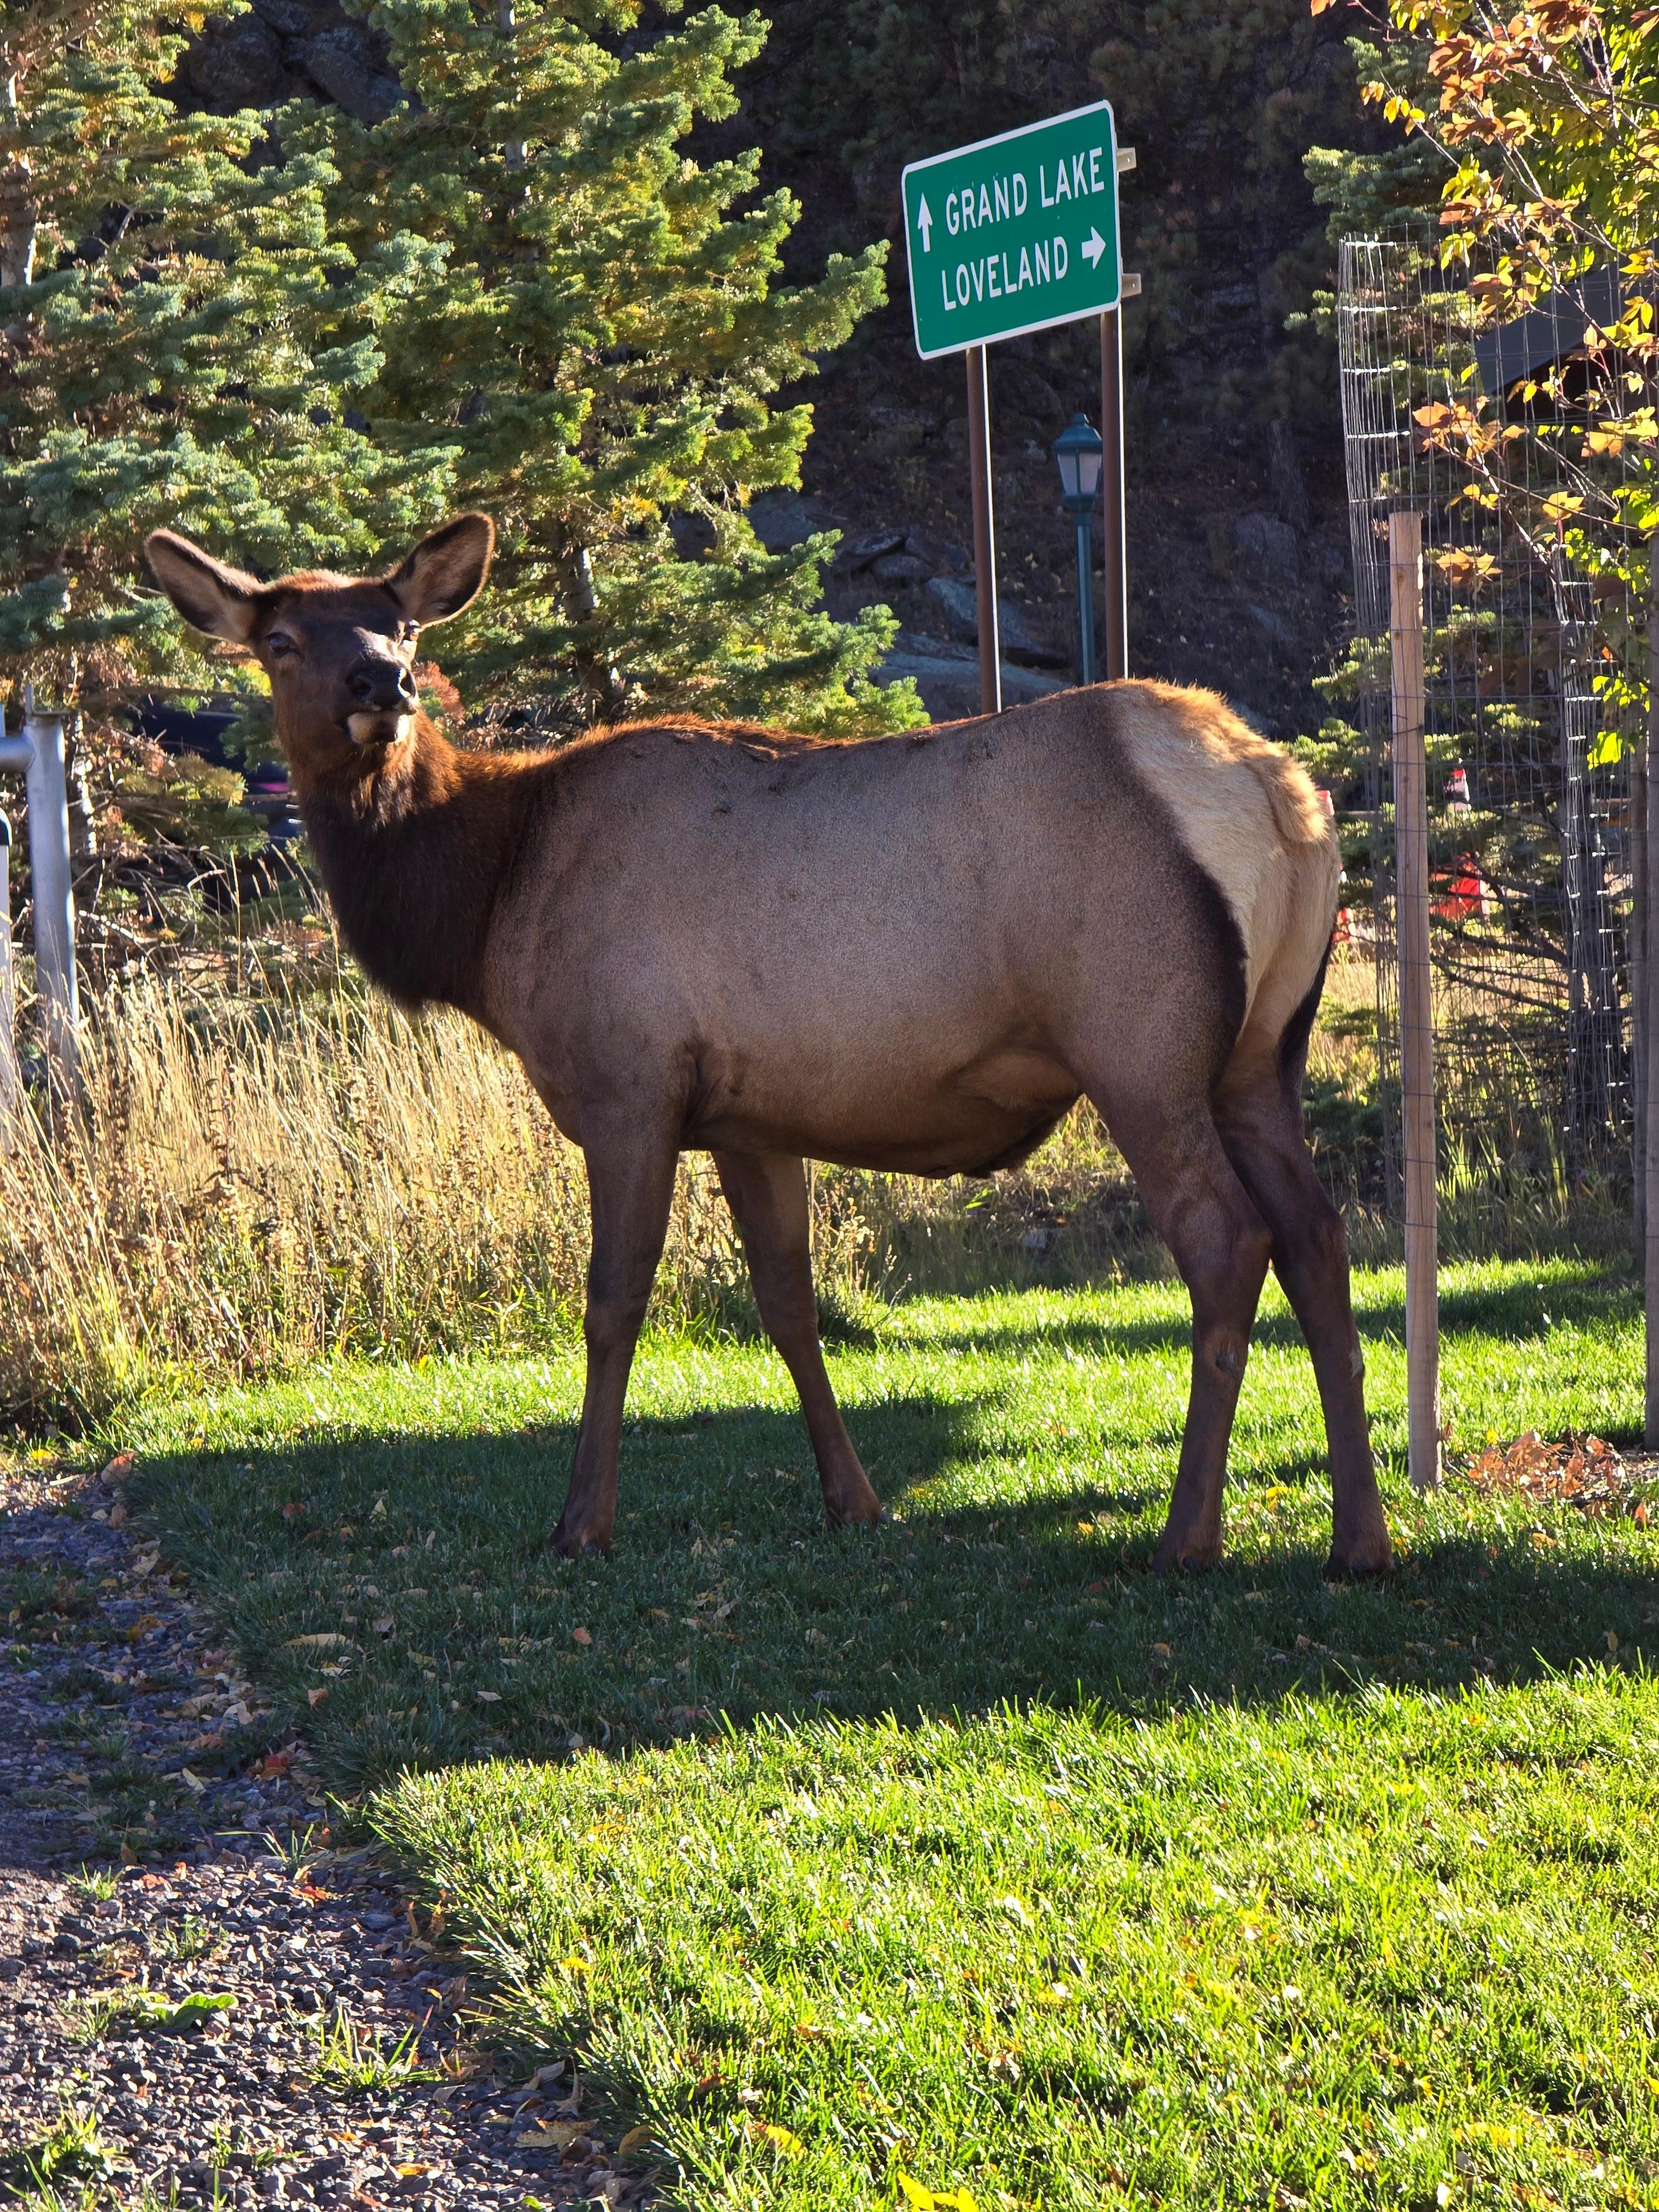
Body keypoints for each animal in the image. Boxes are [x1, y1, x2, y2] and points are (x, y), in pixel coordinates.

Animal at [145, 513, 1393, 1579]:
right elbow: (788, 1304)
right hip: (1260, 1054)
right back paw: (1360, 1541)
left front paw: (581, 1522)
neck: (485, 906)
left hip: (1140, 1044)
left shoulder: (629, 1083)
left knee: (1228, 1242)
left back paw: (1188, 1536)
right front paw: (856, 1500)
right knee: (1318, 1237)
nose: (382, 684)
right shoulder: (750, 1117)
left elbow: (613, 1303)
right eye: (282, 638)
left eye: (401, 624)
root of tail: (1280, 790)